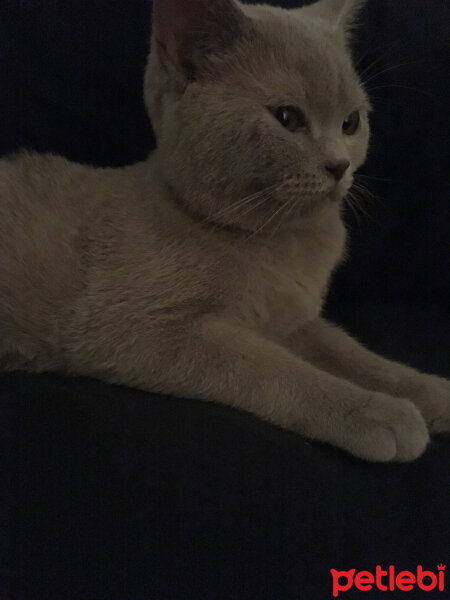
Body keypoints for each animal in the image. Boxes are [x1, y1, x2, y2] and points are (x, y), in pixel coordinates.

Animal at [0, 0, 448, 464]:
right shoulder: (135, 328)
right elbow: (273, 367)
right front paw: (377, 412)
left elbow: (348, 350)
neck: (279, 246)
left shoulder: (292, 318)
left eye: (351, 122)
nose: (340, 164)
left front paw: (425, 389)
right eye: (287, 118)